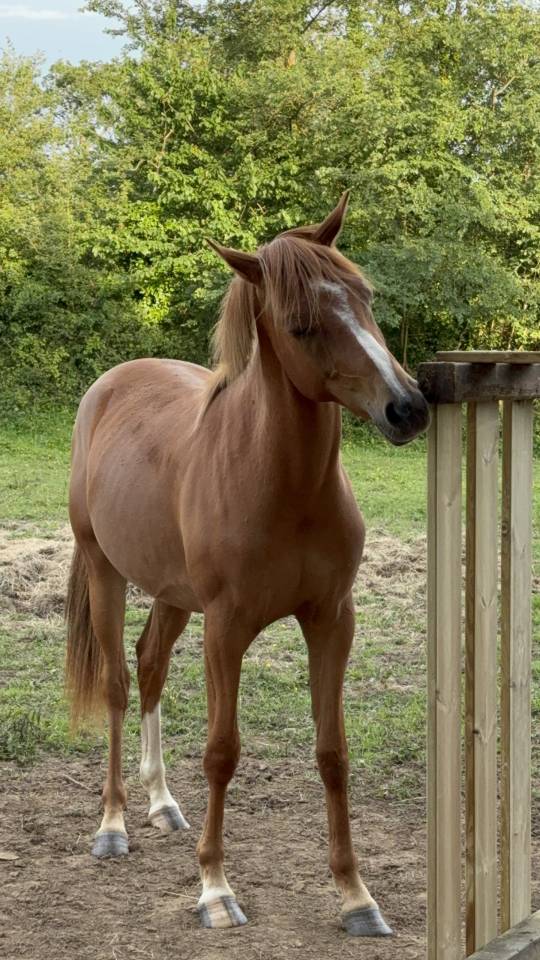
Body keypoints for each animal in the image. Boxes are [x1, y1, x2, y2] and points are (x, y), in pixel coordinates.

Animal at [66, 191, 429, 936]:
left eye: (364, 296)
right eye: (301, 324)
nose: (406, 408)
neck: (283, 486)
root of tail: (110, 385)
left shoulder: (332, 620)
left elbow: (332, 752)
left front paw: (356, 896)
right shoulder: (227, 629)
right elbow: (222, 752)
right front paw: (214, 888)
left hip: (172, 594)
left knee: (149, 665)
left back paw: (162, 804)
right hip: (105, 571)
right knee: (117, 683)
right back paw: (113, 824)